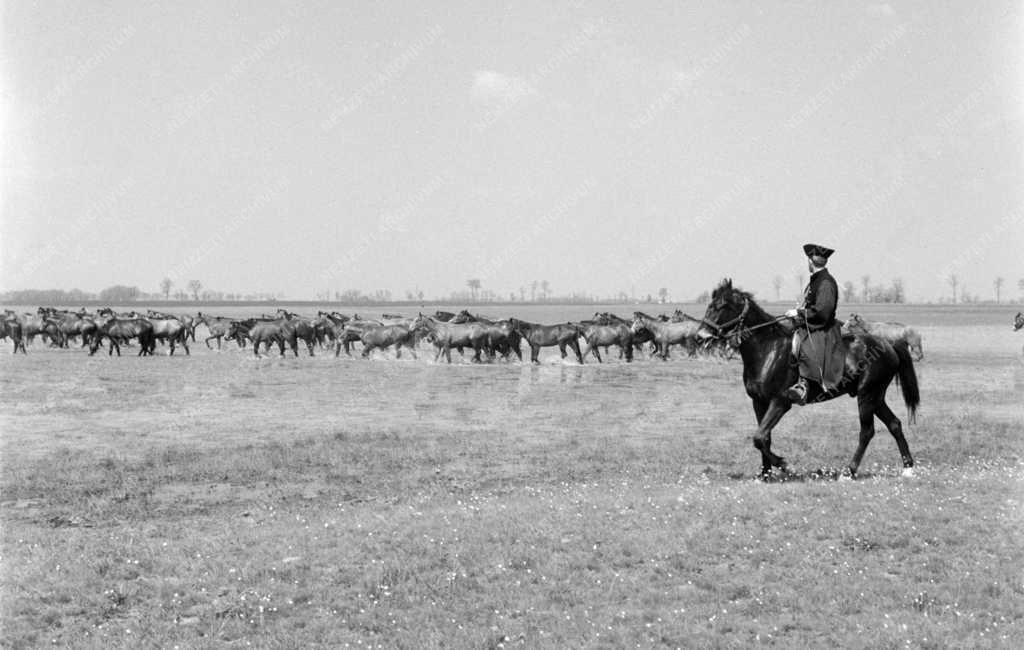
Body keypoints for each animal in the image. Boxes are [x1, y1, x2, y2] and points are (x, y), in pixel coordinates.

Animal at [699, 279, 919, 478]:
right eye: (710, 304)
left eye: (722, 306)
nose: (701, 336)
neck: (767, 348)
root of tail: (888, 344)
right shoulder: (759, 402)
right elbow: (764, 438)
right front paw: (764, 475)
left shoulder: (780, 402)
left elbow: (759, 437)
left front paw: (784, 465)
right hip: (876, 397)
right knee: (894, 424)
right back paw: (908, 467)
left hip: (866, 395)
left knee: (867, 431)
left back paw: (849, 471)